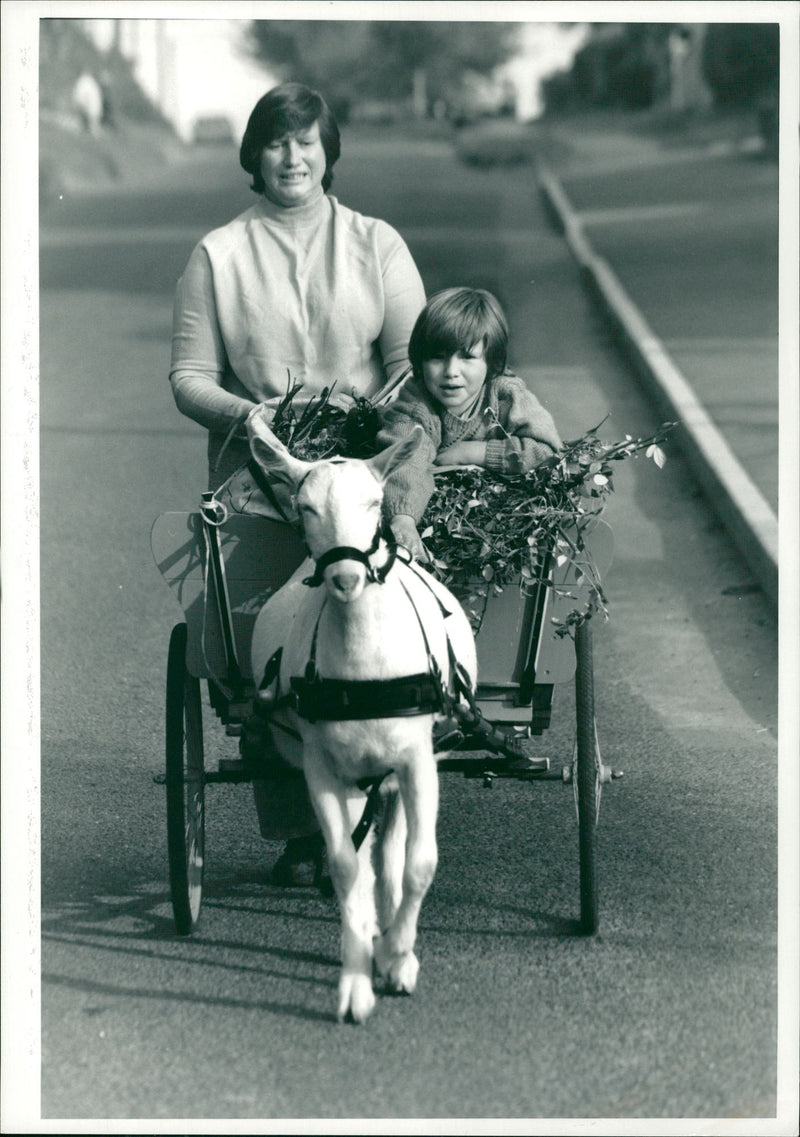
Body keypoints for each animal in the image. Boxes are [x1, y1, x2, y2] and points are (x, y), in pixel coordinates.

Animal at [248, 407, 475, 1023]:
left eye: (375, 502)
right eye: (305, 506)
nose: (345, 578)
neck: (367, 669)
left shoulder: (419, 761)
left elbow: (419, 864)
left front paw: (398, 958)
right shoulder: (323, 766)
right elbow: (348, 866)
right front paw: (355, 981)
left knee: (394, 851)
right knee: (365, 854)